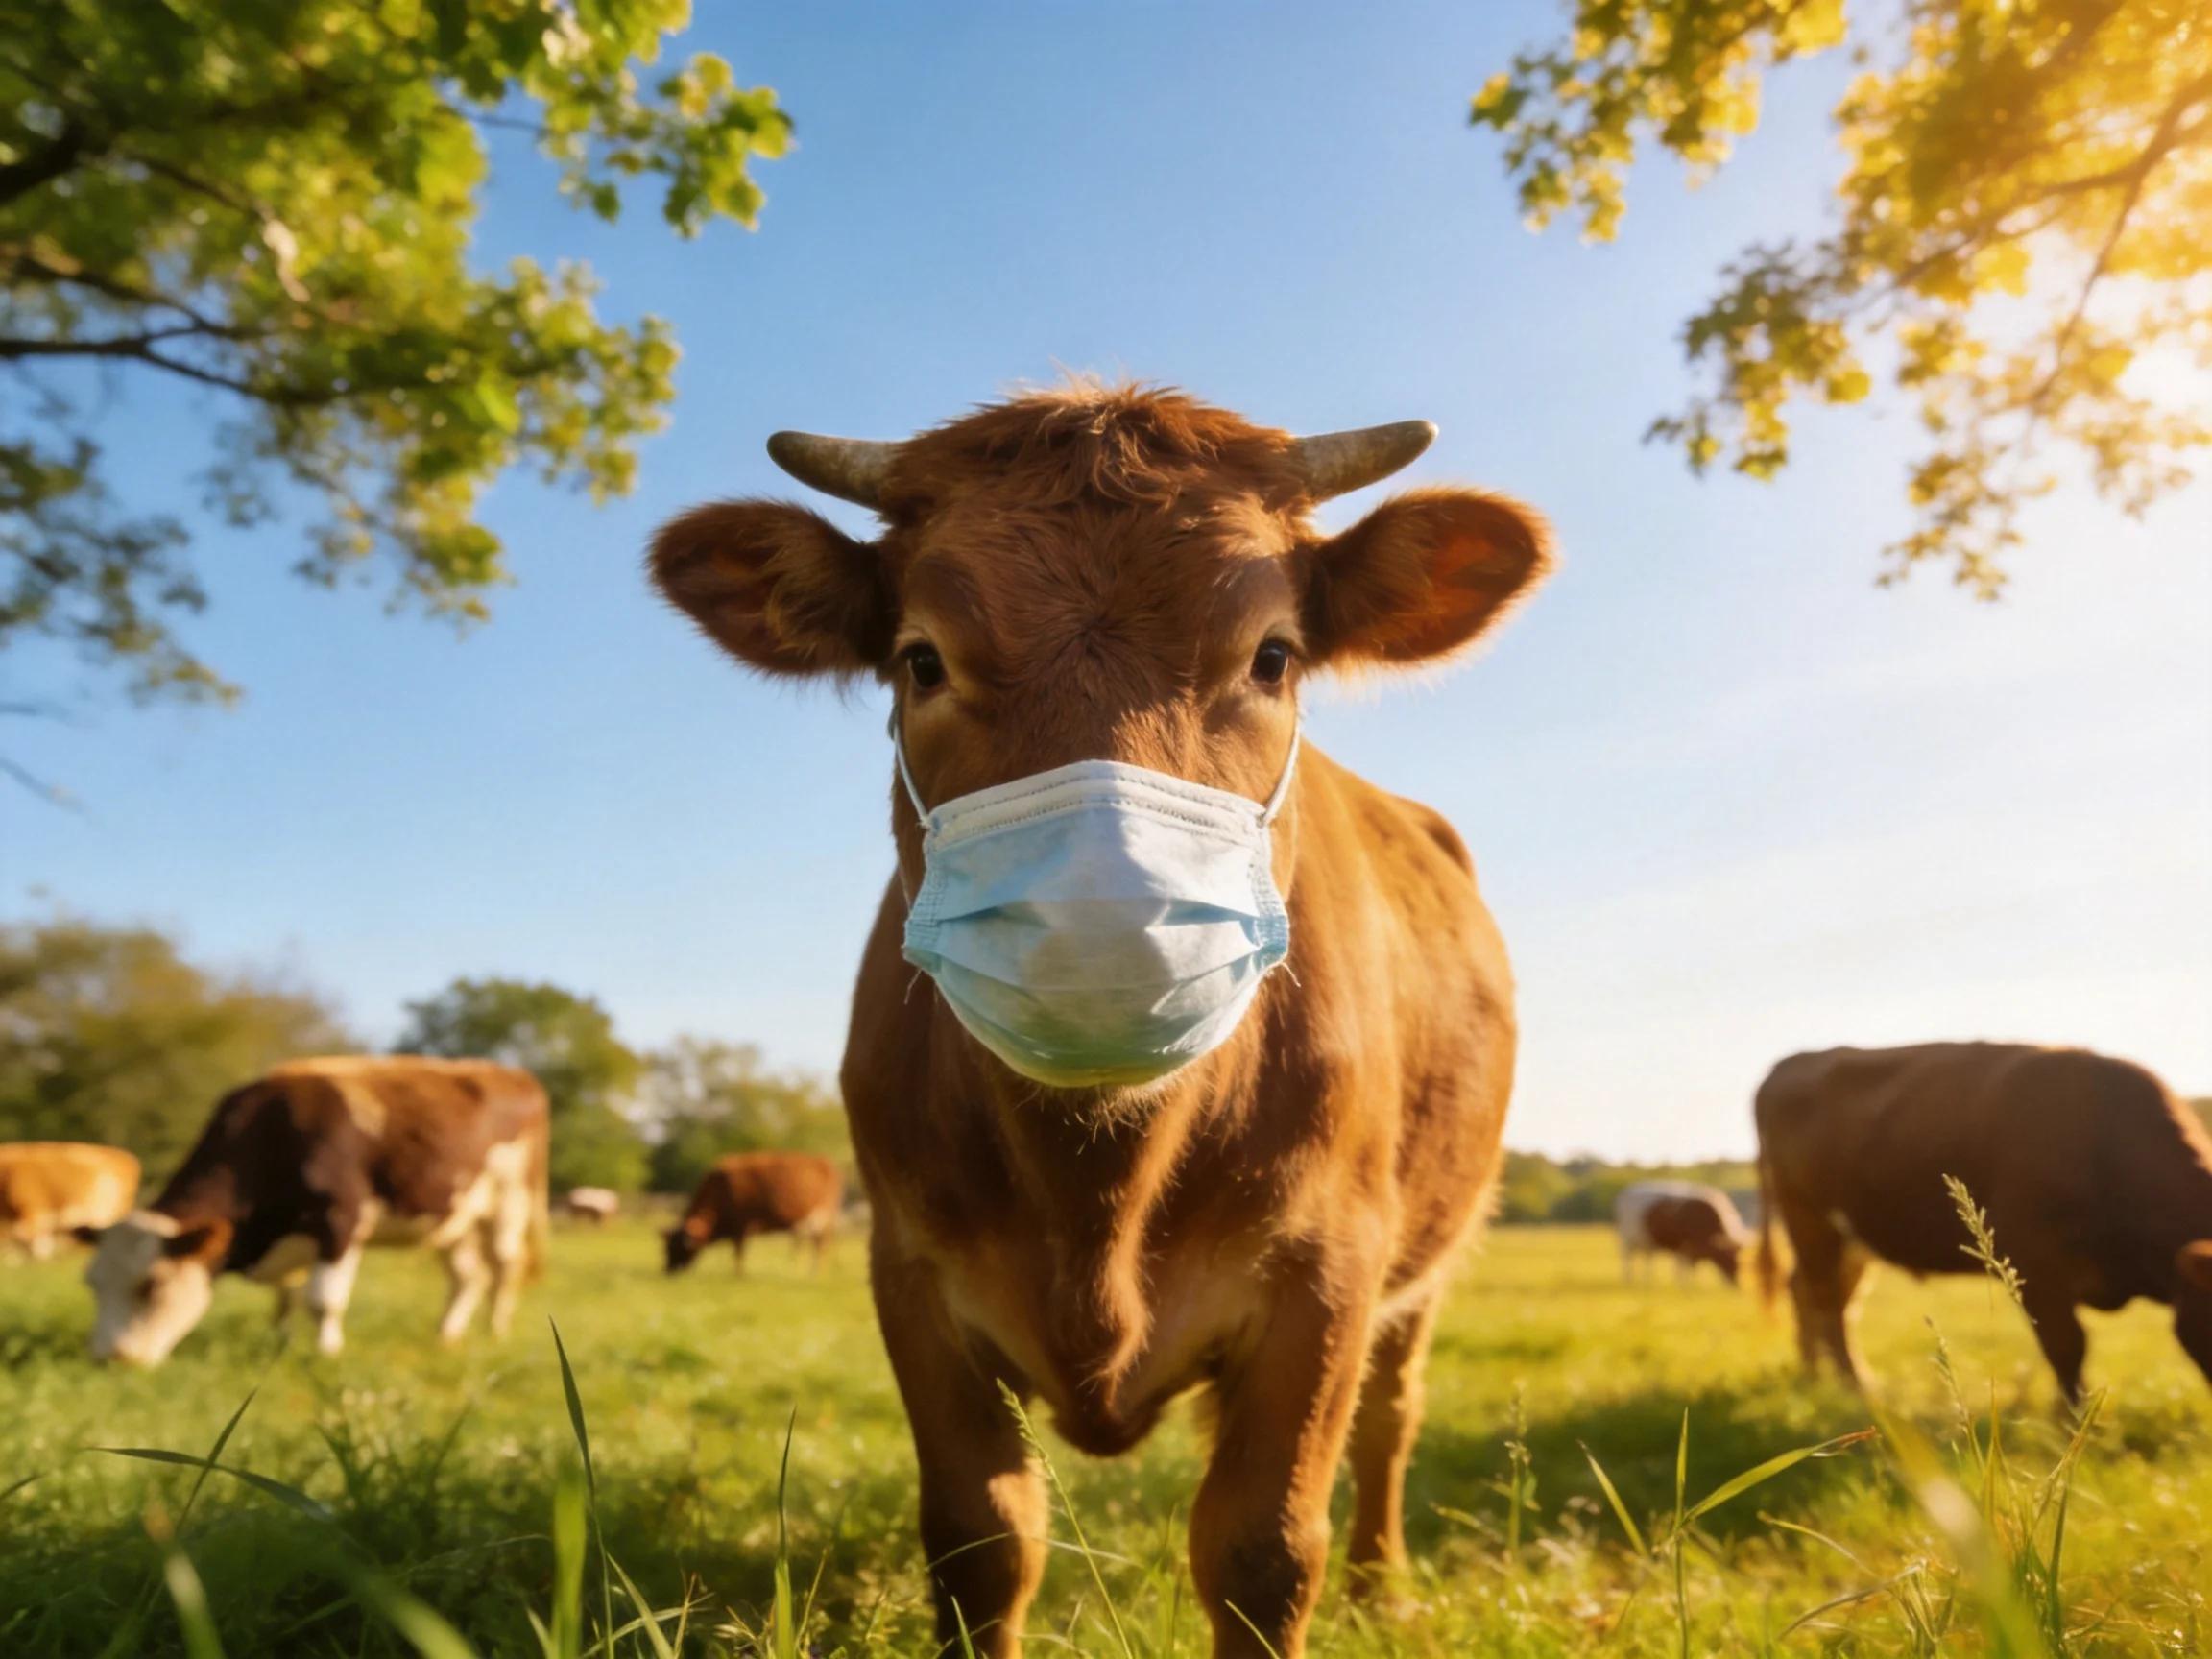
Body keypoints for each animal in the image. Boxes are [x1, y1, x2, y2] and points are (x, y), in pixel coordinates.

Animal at [77, 1056, 549, 1366]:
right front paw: (281, 1341)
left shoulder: (340, 1223)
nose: (108, 1358)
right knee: (468, 1276)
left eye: (151, 1286)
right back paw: (445, 1337)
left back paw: (495, 1332)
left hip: (509, 1203)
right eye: (93, 1284)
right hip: (453, 1216)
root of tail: (514, 1073)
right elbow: (286, 1297)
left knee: (503, 1270)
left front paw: (325, 1354)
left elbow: (323, 1300)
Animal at [663, 1151, 843, 1274]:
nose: (668, 1271)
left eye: (675, 1247)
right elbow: (739, 1251)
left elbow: (739, 1252)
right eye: (666, 1247)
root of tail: (825, 1161)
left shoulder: (741, 1226)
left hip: (823, 1217)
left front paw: (739, 1274)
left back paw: (815, 1272)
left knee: (821, 1245)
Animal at [1614, 1180, 1749, 1286]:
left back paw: (1645, 1280)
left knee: (1645, 1259)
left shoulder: (1692, 1250)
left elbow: (1689, 1267)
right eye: (1727, 1258)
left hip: (1644, 1242)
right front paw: (1684, 1284)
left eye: (1740, 1263)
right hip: (1627, 1240)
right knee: (1627, 1259)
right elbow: (1684, 1266)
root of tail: (1624, 1194)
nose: (1736, 1285)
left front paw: (1690, 1284)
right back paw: (1628, 1279)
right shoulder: (1685, 1247)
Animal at [1755, 1042, 2212, 1403]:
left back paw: (1820, 1377)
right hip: (1809, 1218)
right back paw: (1852, 1388)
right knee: (1824, 1299)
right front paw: (2072, 1421)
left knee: (1818, 1295)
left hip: (1853, 1238)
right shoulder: (2032, 1259)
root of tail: (1794, 1061)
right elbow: (2067, 1344)